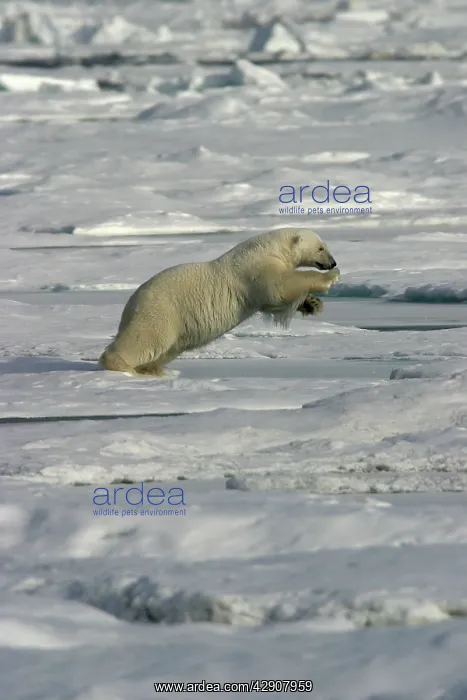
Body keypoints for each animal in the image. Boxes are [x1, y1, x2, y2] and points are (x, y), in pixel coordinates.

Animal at [98, 226, 339, 377]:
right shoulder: (257, 269)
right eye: (321, 248)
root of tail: (131, 304)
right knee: (146, 339)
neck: (270, 247)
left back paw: (152, 370)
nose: (333, 262)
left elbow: (275, 302)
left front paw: (313, 304)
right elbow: (280, 287)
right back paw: (121, 365)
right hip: (162, 311)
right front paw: (331, 278)